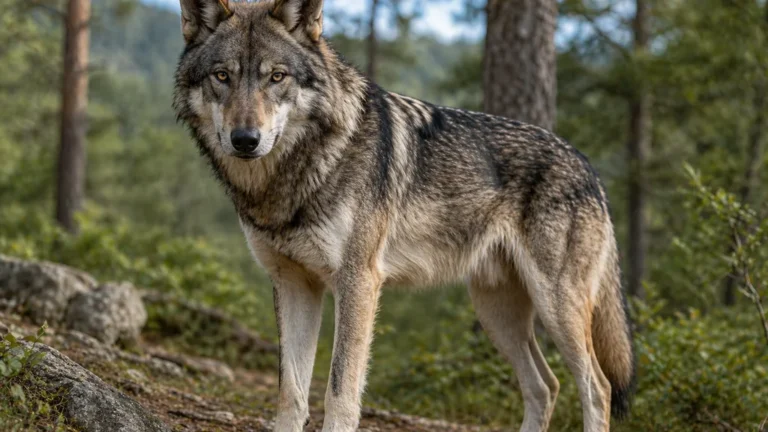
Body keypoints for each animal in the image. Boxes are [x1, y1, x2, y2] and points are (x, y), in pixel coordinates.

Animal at [173, 1, 635, 431]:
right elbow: (291, 391)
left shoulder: (358, 282)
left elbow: (339, 389)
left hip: (555, 307)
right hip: (496, 313)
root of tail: (589, 168)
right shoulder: (293, 284)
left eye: (276, 77)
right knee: (546, 386)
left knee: (597, 386)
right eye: (222, 76)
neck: (297, 174)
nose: (245, 139)